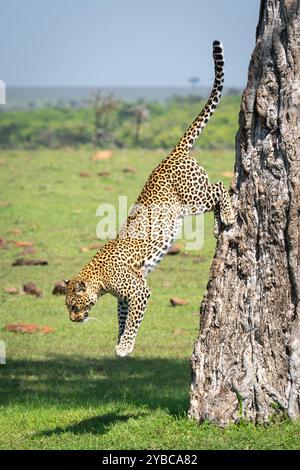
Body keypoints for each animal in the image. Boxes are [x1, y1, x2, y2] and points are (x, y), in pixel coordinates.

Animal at [65, 40, 234, 356]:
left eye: (73, 304)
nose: (72, 319)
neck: (99, 278)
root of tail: (171, 153)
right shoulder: (124, 297)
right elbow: (123, 318)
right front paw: (120, 342)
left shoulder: (139, 290)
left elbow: (133, 320)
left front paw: (125, 346)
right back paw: (220, 225)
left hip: (194, 198)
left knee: (220, 187)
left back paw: (228, 216)